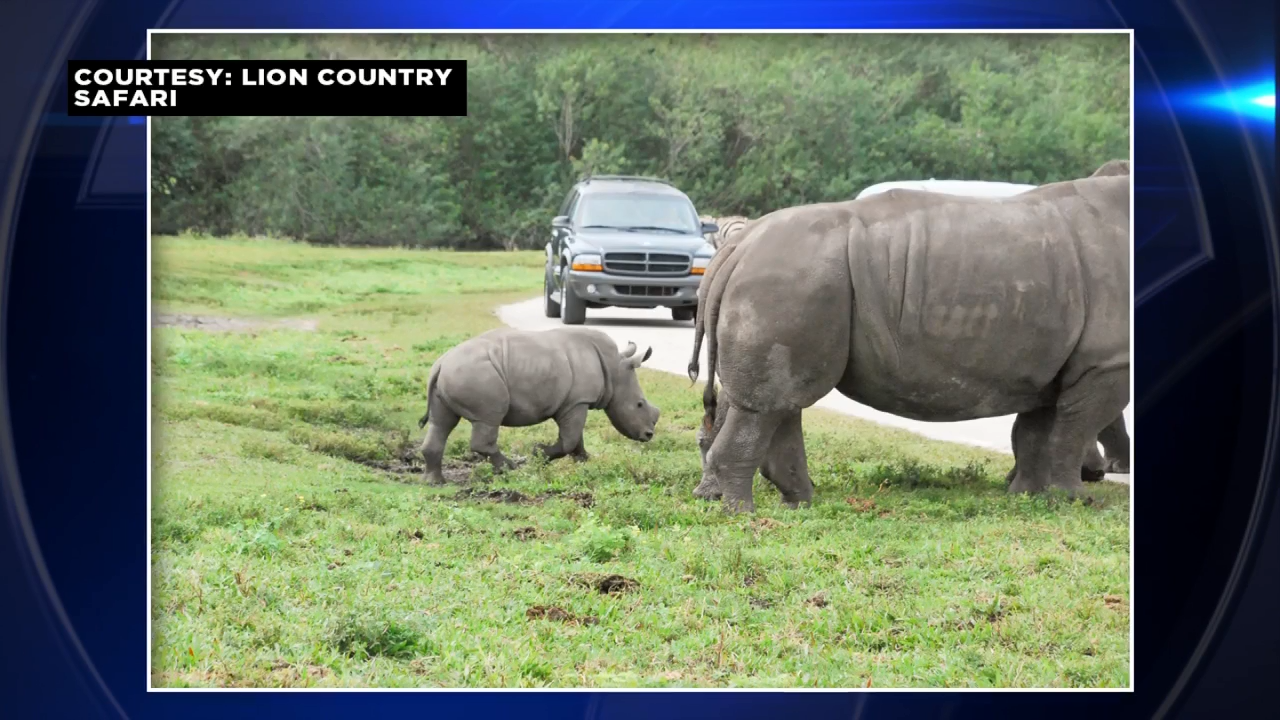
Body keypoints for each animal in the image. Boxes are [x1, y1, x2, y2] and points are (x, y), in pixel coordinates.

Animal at [416, 327, 660, 484]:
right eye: (639, 404)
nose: (649, 435)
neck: (614, 368)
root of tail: (440, 364)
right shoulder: (577, 401)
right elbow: (569, 440)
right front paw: (538, 454)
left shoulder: (575, 402)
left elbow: (575, 439)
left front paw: (586, 461)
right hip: (477, 375)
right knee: (488, 420)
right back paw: (510, 470)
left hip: (453, 377)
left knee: (441, 423)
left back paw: (434, 482)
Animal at [688, 174, 1130, 512]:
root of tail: (736, 247)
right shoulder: (1109, 362)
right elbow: (1075, 427)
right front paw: (1073, 499)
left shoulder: (1049, 364)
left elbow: (1038, 429)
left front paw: (1027, 495)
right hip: (790, 279)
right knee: (769, 404)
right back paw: (743, 512)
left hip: (794, 280)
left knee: (781, 400)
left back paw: (796, 504)